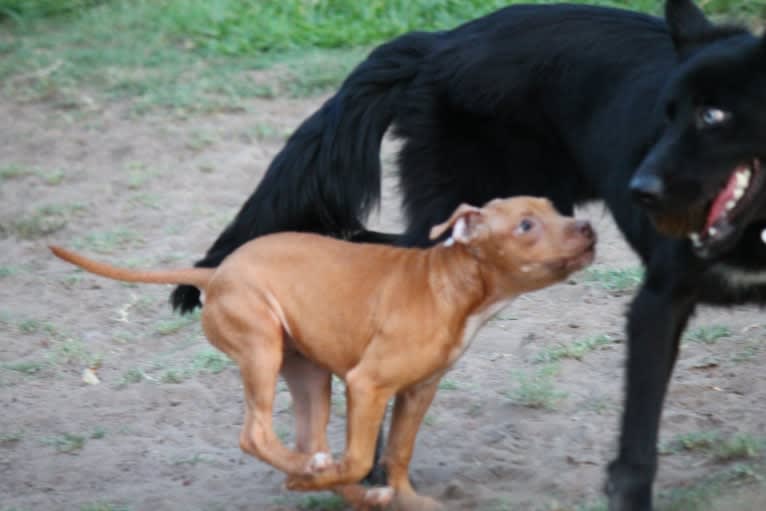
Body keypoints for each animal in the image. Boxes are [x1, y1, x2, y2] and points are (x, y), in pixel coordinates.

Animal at [49, 196, 600, 511]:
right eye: (526, 225)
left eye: (556, 209)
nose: (589, 228)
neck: (452, 284)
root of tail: (217, 272)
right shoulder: (368, 385)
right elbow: (359, 457)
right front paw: (330, 483)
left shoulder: (418, 391)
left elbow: (397, 454)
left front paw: (406, 501)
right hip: (261, 349)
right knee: (257, 435)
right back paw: (307, 475)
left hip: (308, 376)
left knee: (303, 440)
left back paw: (338, 484)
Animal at [172, 2, 766, 510]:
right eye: (668, 115)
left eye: (713, 115)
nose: (640, 189)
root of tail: (438, 40)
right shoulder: (656, 304)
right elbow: (639, 440)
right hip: (471, 209)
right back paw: (366, 470)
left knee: (363, 242)